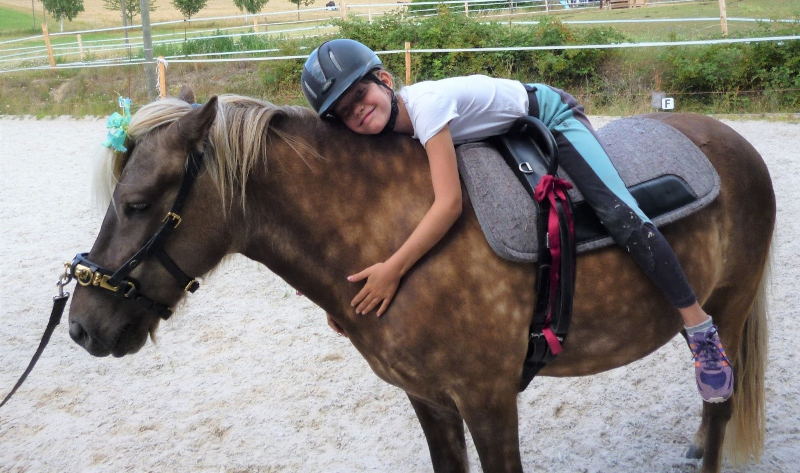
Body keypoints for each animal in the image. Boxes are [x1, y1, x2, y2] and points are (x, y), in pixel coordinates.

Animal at [67, 88, 774, 473]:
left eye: (135, 204)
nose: (80, 326)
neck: (395, 237)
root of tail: (734, 142)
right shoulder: (429, 400)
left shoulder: (489, 400)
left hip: (728, 306)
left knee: (720, 397)